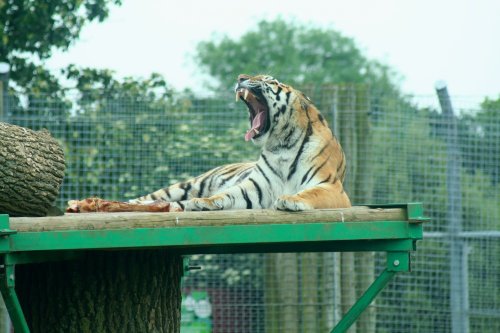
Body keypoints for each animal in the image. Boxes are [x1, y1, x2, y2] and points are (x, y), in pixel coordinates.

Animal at [133, 74, 352, 210]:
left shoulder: (331, 188)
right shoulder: (257, 188)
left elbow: (309, 194)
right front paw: (204, 201)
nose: (240, 78)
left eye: (269, 80)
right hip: (186, 185)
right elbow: (228, 194)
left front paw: (289, 199)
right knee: (147, 199)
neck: (282, 143)